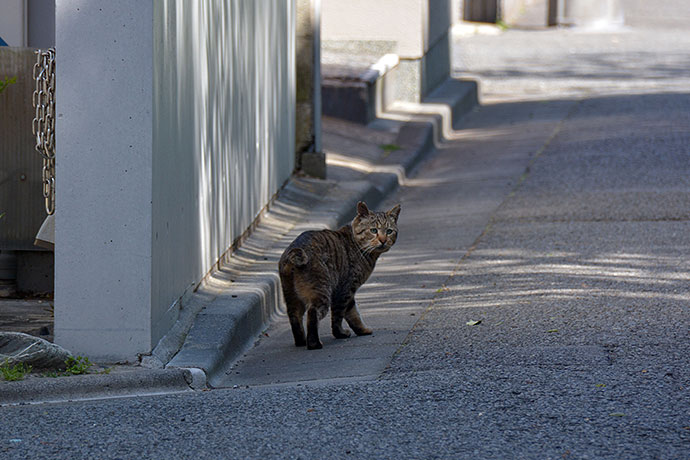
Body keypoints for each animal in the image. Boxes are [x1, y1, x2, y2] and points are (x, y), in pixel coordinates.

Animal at [278, 200, 400, 348]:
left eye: (389, 231)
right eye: (373, 230)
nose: (383, 240)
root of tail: (295, 249)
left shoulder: (348, 292)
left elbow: (353, 313)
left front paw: (362, 330)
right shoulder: (345, 289)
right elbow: (339, 316)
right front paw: (341, 333)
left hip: (292, 296)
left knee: (294, 316)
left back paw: (301, 341)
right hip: (322, 292)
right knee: (312, 313)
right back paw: (314, 343)